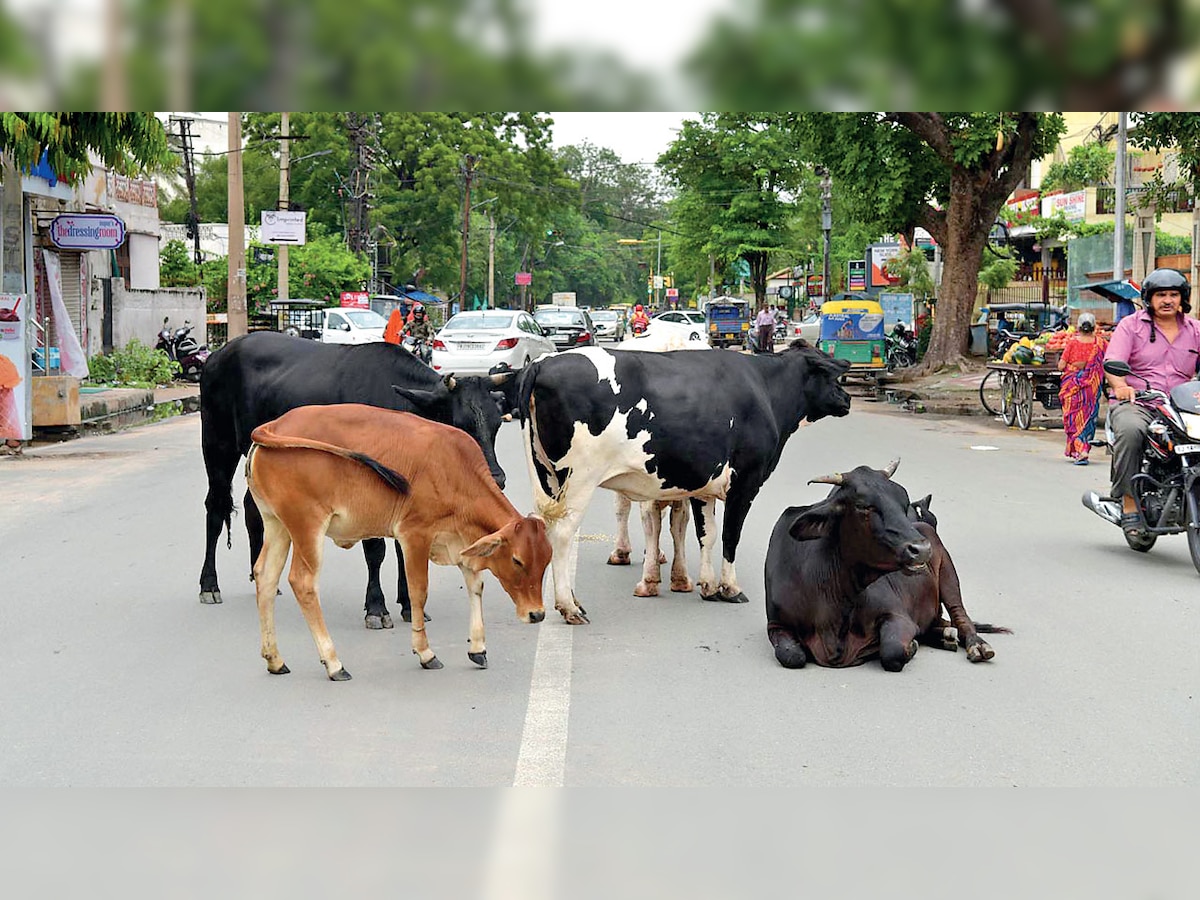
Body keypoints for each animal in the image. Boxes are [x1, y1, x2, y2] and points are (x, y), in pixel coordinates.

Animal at [198, 331, 516, 628]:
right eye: (460, 425)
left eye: (497, 424)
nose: (496, 478)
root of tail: (220, 353)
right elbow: (376, 550)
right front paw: (377, 607)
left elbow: (402, 548)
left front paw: (409, 605)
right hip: (217, 444)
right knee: (215, 507)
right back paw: (209, 585)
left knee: (253, 510)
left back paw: (262, 578)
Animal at [246, 405, 549, 681]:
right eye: (517, 560)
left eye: (546, 561)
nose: (537, 615)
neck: (455, 468)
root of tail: (275, 425)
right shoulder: (415, 535)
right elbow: (418, 592)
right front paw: (426, 653)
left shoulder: (461, 541)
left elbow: (476, 586)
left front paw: (478, 648)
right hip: (307, 526)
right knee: (303, 582)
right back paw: (334, 664)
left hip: (277, 524)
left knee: (265, 576)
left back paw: (275, 659)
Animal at [763, 465, 1008, 672]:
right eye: (863, 506)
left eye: (904, 502)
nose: (921, 549)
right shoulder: (776, 624)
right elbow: (791, 656)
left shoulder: (897, 615)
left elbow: (892, 650)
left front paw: (911, 647)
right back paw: (945, 636)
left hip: (948, 574)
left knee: (960, 615)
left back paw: (977, 645)